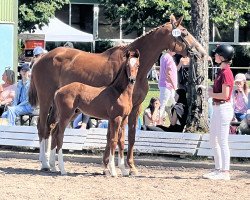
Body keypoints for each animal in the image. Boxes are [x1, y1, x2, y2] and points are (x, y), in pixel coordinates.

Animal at [28, 14, 205, 173]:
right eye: (184, 34)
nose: (201, 53)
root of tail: (40, 59)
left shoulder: (134, 107)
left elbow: (129, 136)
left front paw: (128, 167)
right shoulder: (116, 111)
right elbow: (116, 136)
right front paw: (112, 166)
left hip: (63, 108)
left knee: (51, 127)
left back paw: (51, 163)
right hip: (46, 100)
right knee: (42, 127)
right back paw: (45, 163)